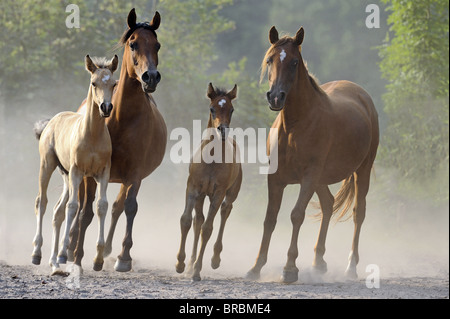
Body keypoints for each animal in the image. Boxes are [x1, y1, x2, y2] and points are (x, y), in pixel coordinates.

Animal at [32, 55, 118, 276]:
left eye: (114, 84)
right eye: (94, 83)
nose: (106, 108)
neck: (92, 135)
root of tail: (52, 121)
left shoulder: (102, 173)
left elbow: (101, 206)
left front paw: (98, 259)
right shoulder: (78, 172)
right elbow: (74, 207)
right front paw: (63, 255)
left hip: (65, 175)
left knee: (57, 211)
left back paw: (53, 261)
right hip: (48, 165)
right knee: (42, 202)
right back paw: (38, 253)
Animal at [69, 9, 168, 272]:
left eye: (157, 45)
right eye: (133, 44)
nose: (150, 77)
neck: (123, 118)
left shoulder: (134, 174)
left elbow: (129, 207)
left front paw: (124, 257)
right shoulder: (92, 173)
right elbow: (86, 212)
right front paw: (77, 254)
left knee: (116, 207)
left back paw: (106, 251)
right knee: (81, 205)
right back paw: (70, 245)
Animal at [175, 83, 241, 282]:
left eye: (231, 109)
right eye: (212, 109)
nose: (223, 130)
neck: (212, 159)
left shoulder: (218, 194)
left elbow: (207, 229)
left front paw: (197, 271)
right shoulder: (193, 188)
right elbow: (186, 220)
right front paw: (180, 264)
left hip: (230, 193)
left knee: (225, 211)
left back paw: (214, 259)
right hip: (202, 195)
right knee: (198, 220)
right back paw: (189, 264)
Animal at [246, 26, 380, 284]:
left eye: (294, 62)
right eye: (269, 60)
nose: (275, 97)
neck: (295, 126)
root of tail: (362, 95)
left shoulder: (308, 177)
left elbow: (296, 215)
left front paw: (289, 269)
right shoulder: (275, 178)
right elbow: (270, 218)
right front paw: (255, 267)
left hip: (361, 171)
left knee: (358, 213)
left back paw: (350, 267)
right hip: (321, 179)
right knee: (328, 204)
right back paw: (318, 262)